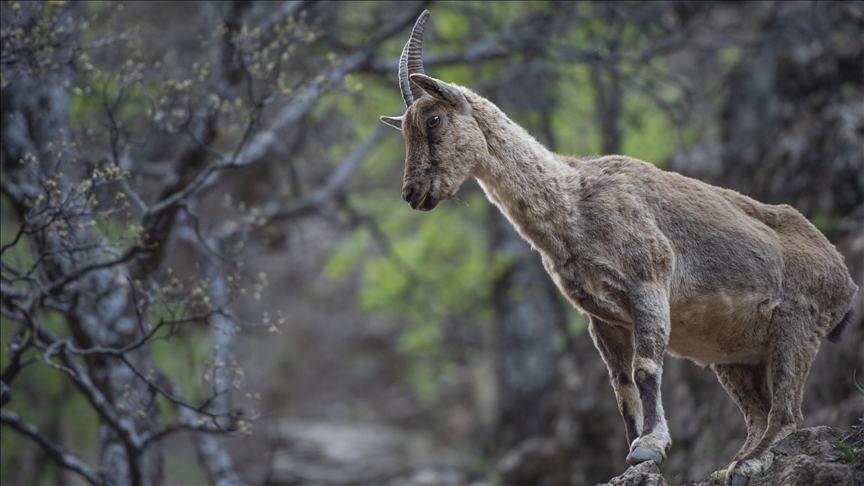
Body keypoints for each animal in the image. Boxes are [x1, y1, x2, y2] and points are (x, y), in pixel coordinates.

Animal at [380, 10, 856, 478]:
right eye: (403, 130)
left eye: (434, 119)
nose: (412, 193)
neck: (572, 204)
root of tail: (845, 280)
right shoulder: (603, 319)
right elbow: (622, 388)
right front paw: (633, 453)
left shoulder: (648, 284)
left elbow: (645, 370)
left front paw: (650, 445)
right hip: (735, 355)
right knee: (758, 412)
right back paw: (733, 465)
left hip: (795, 327)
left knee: (787, 413)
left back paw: (751, 462)